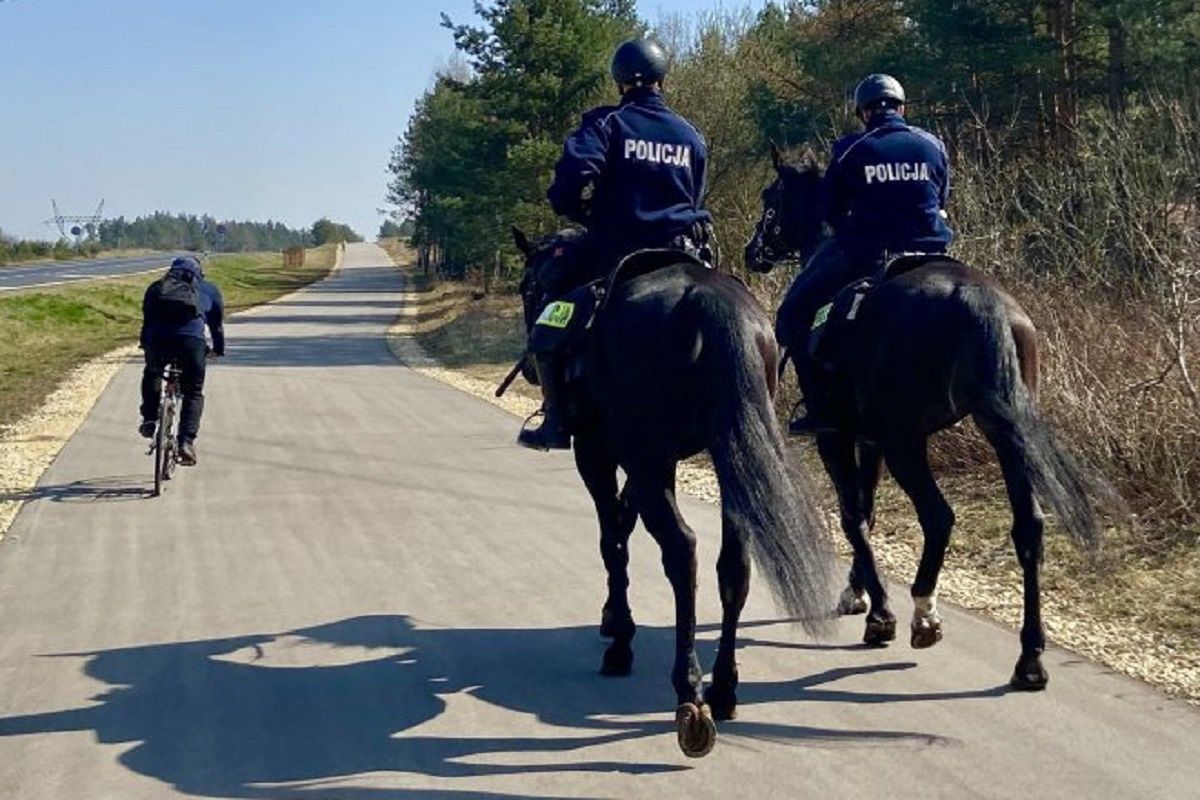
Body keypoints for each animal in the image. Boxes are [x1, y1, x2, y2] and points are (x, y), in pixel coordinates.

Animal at [508, 226, 835, 758]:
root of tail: (711, 306)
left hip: (648, 457)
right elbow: (623, 525)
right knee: (734, 564)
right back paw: (723, 688)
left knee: (682, 552)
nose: (534, 368)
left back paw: (689, 691)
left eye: (528, 287)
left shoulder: (600, 452)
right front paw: (611, 618)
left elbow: (612, 540)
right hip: (728, 455)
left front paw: (619, 635)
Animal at [744, 146, 1108, 690]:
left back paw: (922, 614)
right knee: (1029, 528)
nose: (754, 251)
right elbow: (868, 510)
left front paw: (879, 612)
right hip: (1003, 432)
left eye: (773, 198)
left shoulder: (839, 435)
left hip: (906, 442)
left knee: (938, 517)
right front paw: (857, 592)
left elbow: (854, 514)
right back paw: (1030, 658)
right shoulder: (870, 438)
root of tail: (981, 301)